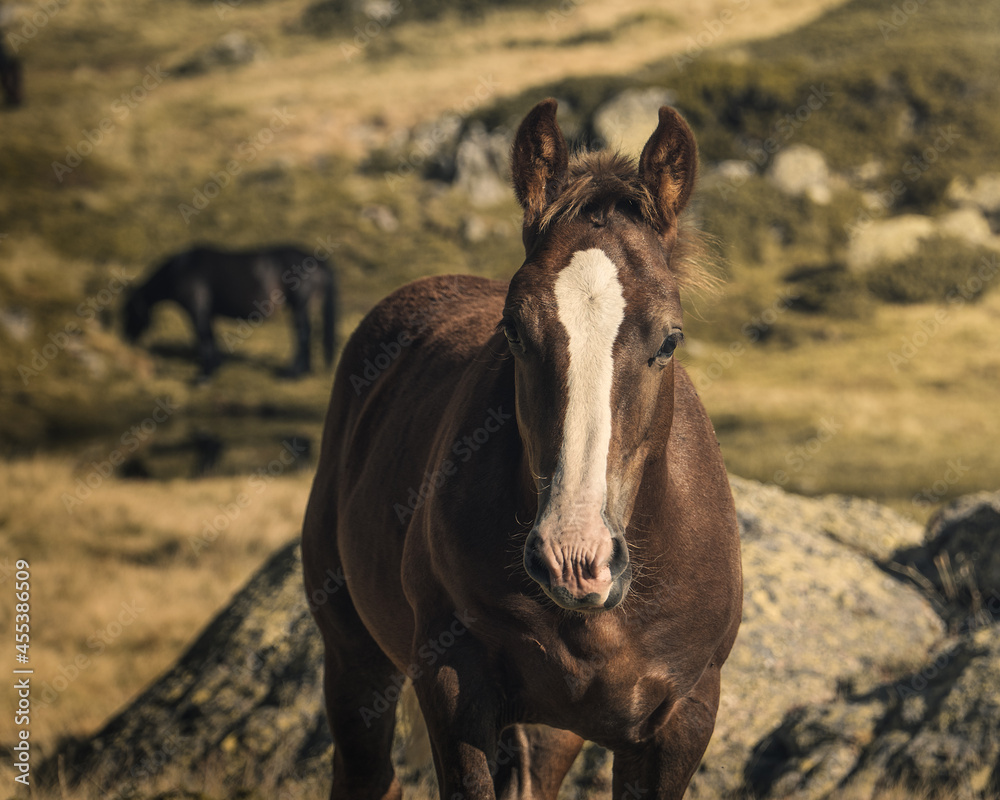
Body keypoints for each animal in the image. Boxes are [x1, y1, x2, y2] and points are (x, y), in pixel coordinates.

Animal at [123, 244, 338, 378]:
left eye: (128, 312)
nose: (126, 340)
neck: (181, 269)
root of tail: (319, 264)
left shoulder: (197, 311)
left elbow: (203, 337)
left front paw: (204, 374)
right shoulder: (206, 313)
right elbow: (209, 336)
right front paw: (214, 366)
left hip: (299, 306)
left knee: (302, 333)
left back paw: (293, 374)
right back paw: (304, 371)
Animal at [301, 99, 743, 800]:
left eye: (669, 339)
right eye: (512, 329)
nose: (575, 558)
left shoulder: (683, 718)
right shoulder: (453, 684)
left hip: (547, 730)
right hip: (354, 660)